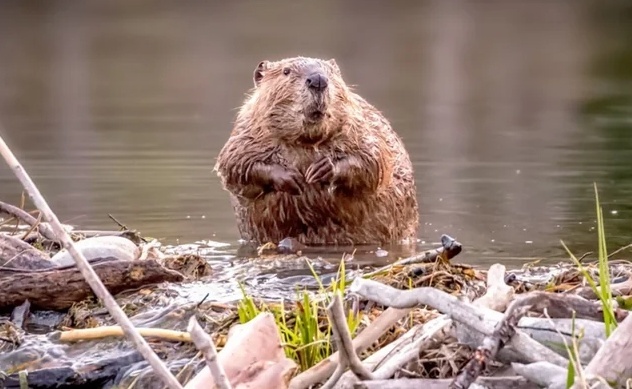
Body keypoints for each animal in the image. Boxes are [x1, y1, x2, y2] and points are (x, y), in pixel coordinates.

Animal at [214, 56, 420, 246]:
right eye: (286, 71)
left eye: (330, 71)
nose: (318, 80)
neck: (306, 141)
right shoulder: (246, 132)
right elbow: (234, 165)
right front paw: (291, 177)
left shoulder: (361, 126)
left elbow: (373, 160)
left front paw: (321, 170)